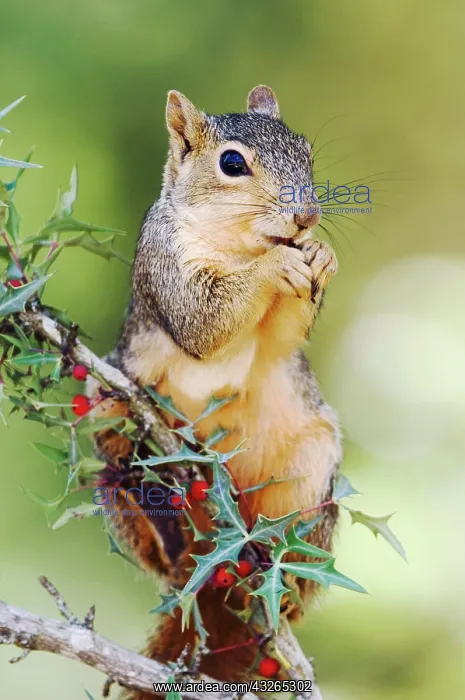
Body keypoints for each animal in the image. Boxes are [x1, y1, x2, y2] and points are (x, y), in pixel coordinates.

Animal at [89, 85, 341, 698]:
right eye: (231, 163)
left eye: (306, 151)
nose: (307, 217)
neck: (240, 245)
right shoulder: (166, 266)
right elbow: (204, 321)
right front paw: (278, 262)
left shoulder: (279, 339)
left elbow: (283, 336)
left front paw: (321, 255)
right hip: (110, 431)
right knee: (154, 542)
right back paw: (169, 539)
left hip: (311, 470)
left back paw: (280, 580)